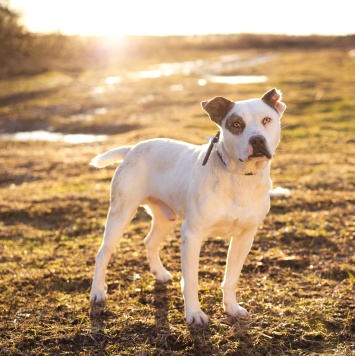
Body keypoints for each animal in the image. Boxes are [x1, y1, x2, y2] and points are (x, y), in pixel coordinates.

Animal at [89, 87, 286, 324]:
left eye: (267, 120)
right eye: (236, 124)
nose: (257, 140)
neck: (239, 177)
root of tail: (133, 148)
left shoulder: (244, 238)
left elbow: (231, 277)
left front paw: (231, 308)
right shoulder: (192, 235)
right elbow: (191, 280)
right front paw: (194, 314)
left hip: (166, 217)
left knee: (149, 241)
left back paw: (159, 273)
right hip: (121, 213)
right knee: (103, 253)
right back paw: (97, 292)